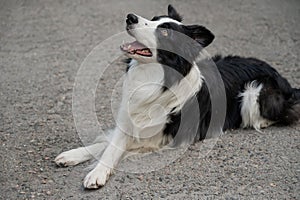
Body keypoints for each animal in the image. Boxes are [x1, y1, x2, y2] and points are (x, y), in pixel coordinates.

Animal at [54, 5, 300, 189]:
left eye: (165, 32)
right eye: (153, 19)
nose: (130, 17)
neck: (156, 79)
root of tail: (285, 82)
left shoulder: (161, 138)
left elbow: (114, 149)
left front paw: (97, 173)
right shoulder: (131, 121)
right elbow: (107, 144)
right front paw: (75, 156)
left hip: (254, 93)